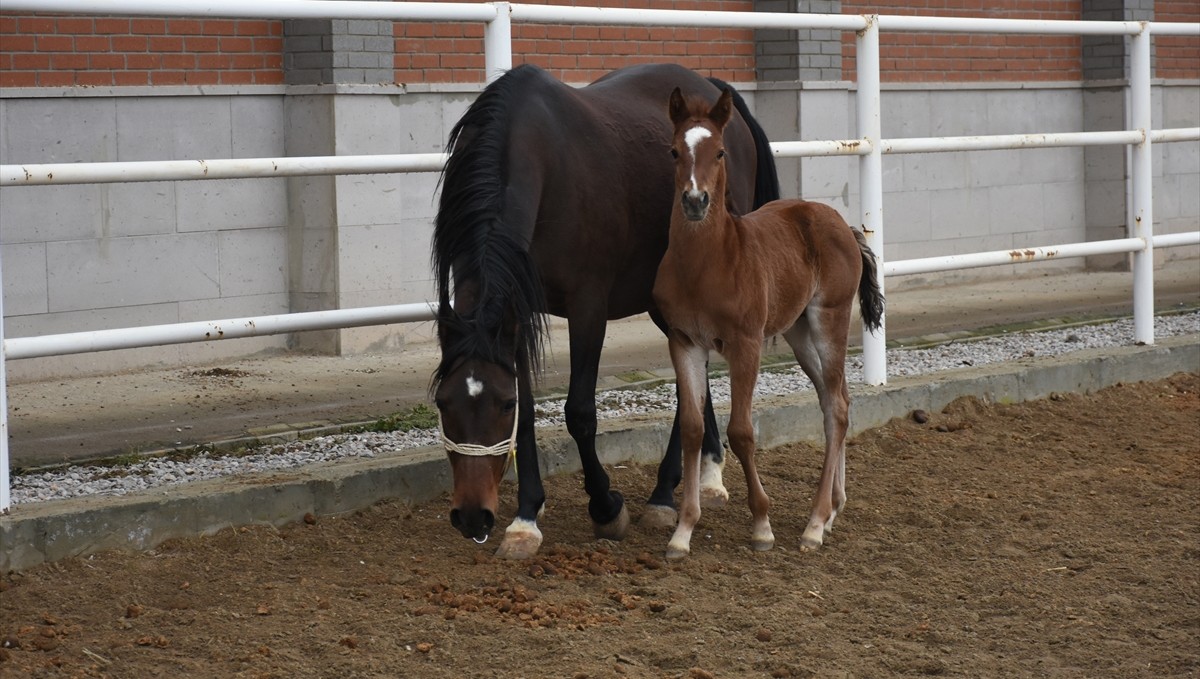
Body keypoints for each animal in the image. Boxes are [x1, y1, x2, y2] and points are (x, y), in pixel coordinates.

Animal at [432, 65, 777, 559]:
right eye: (443, 402)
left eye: (501, 405)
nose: (472, 516)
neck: (543, 159)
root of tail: (712, 87)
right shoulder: (517, 312)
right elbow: (531, 416)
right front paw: (525, 518)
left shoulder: (588, 307)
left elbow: (578, 411)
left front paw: (606, 506)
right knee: (695, 377)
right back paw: (707, 475)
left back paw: (663, 494)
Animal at [652, 87, 888, 561]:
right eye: (674, 151)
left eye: (720, 152)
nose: (694, 201)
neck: (706, 264)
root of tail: (843, 224)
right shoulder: (684, 342)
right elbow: (691, 428)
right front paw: (683, 532)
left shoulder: (746, 344)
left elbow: (741, 431)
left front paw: (762, 525)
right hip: (798, 333)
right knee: (837, 400)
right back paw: (832, 510)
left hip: (829, 318)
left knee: (836, 407)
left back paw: (815, 524)